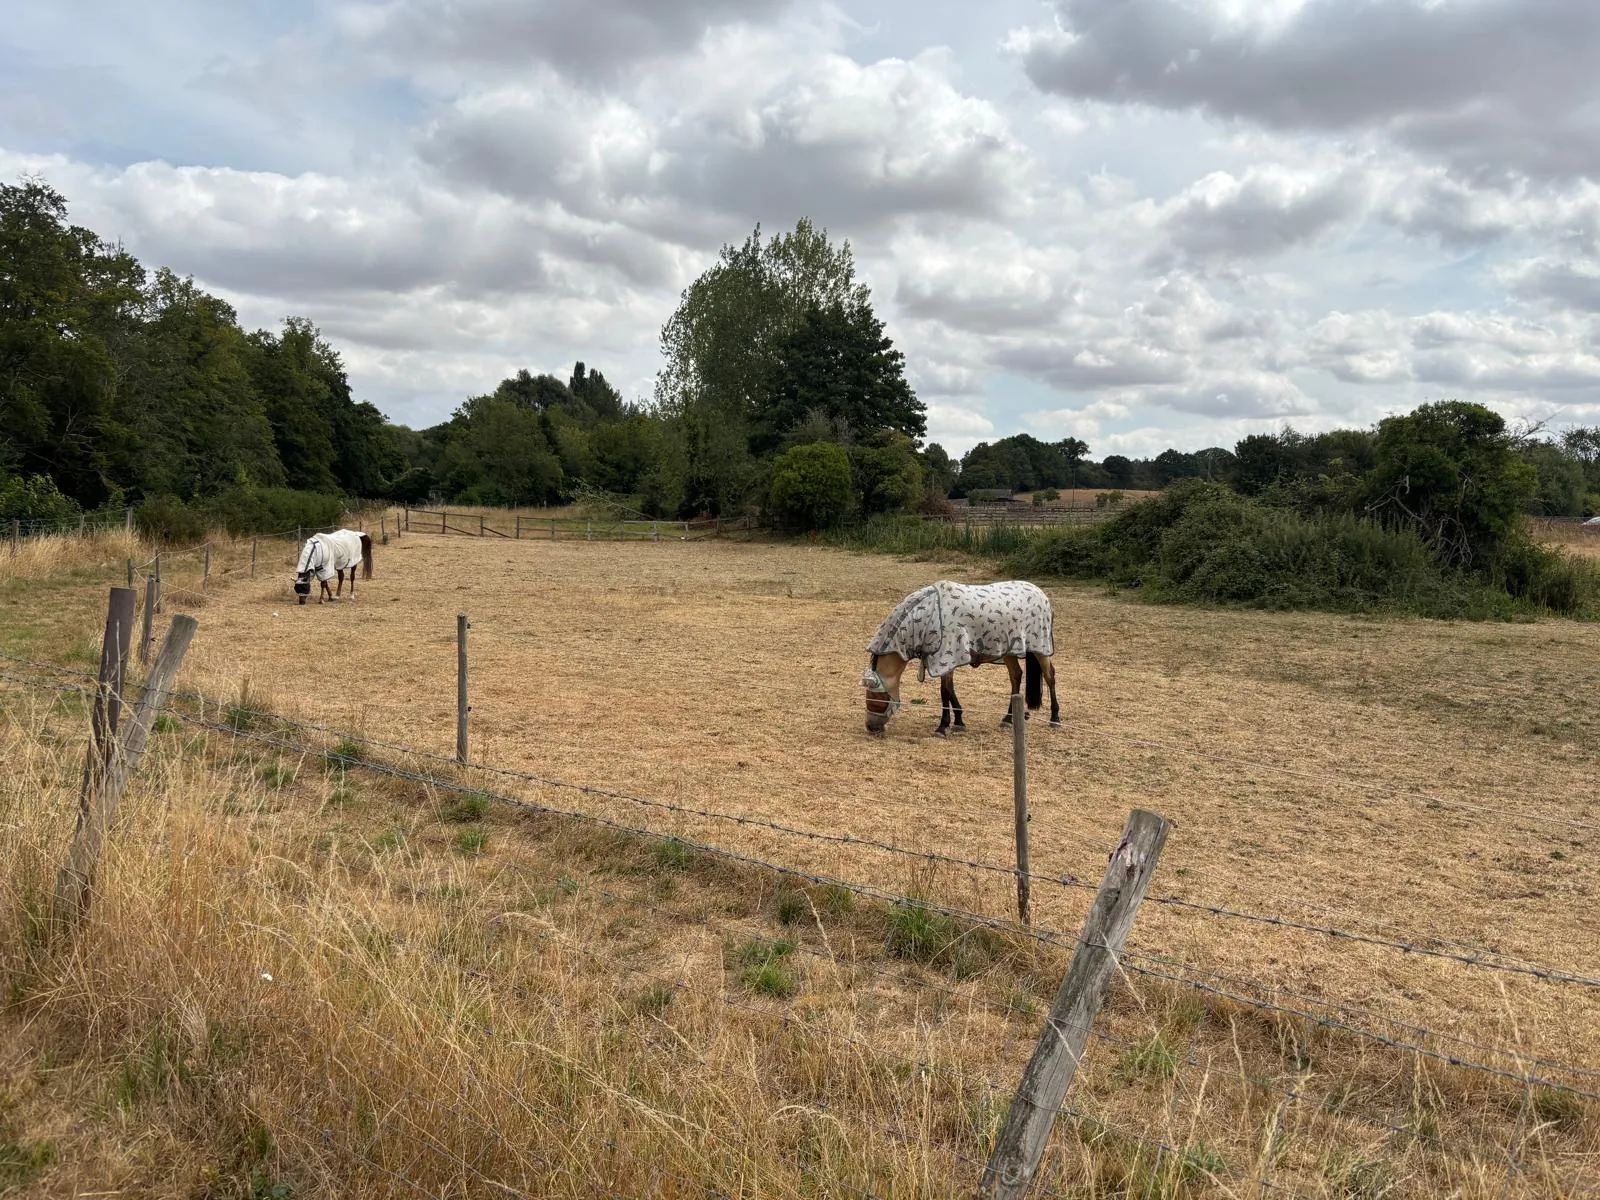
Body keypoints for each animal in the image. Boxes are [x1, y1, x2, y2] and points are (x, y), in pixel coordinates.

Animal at [861, 580, 1060, 736]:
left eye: (874, 697)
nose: (870, 727)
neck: (927, 615)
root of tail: (1042, 595)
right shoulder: (942, 659)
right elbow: (949, 689)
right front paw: (957, 721)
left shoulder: (945, 657)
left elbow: (945, 691)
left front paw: (942, 726)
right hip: (1009, 649)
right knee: (1016, 676)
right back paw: (1009, 718)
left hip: (1040, 648)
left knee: (1049, 676)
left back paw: (1055, 718)